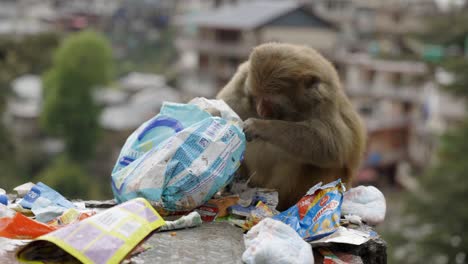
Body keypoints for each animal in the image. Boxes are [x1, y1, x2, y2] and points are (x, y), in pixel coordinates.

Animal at [216, 42, 366, 209]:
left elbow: (331, 146)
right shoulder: (242, 77)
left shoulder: (324, 99)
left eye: (270, 101)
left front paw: (259, 126)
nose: (261, 111)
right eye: (255, 96)